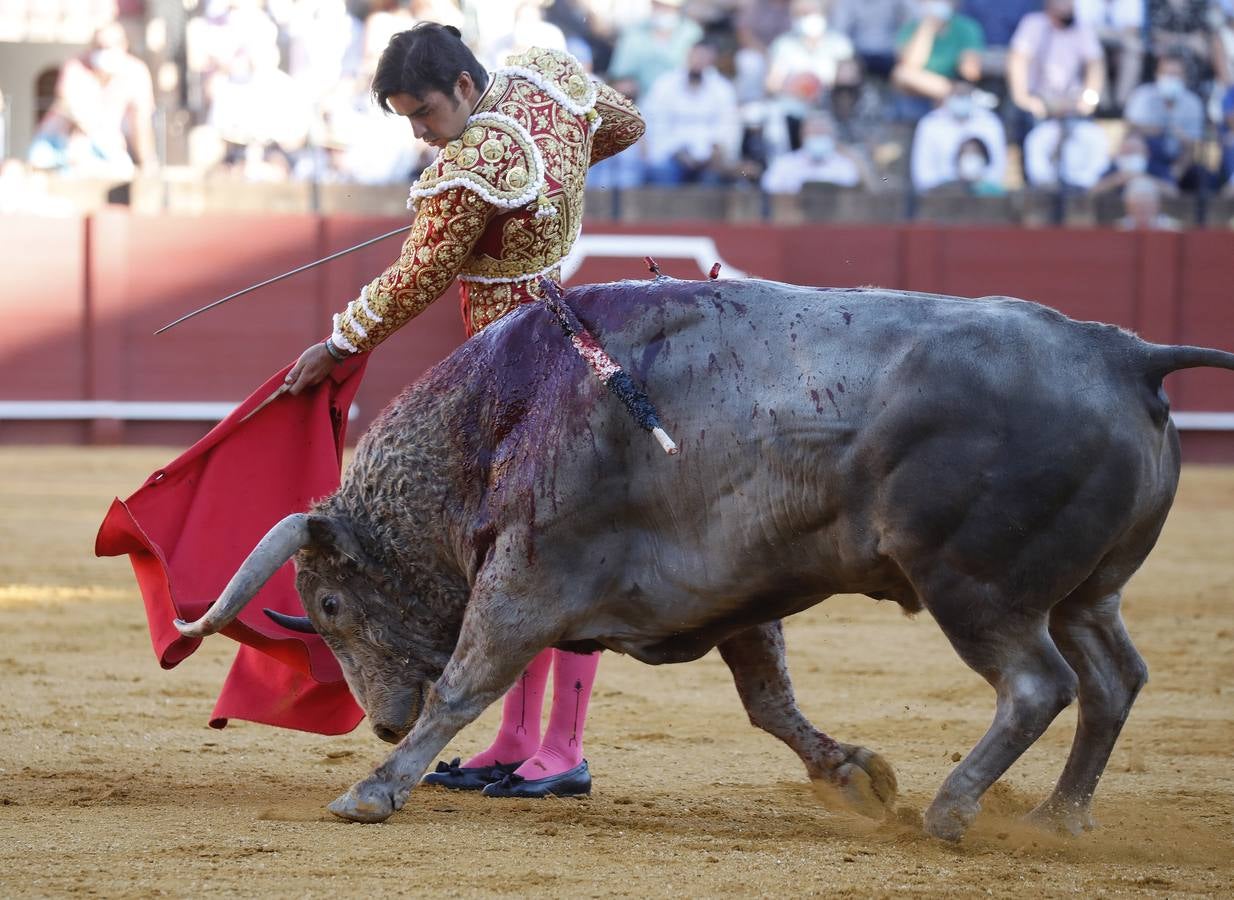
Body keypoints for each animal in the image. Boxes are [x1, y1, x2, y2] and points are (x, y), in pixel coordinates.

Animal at [173, 277, 1234, 839]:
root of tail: (1124, 354)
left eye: (332, 608)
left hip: (978, 590)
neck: (502, 417)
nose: (381, 723)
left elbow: (467, 682)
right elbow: (770, 703)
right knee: (1114, 678)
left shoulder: (526, 579)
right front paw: (853, 774)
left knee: (1037, 686)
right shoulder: (739, 596)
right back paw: (1057, 817)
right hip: (1083, 592)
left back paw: (949, 812)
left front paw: (373, 789)